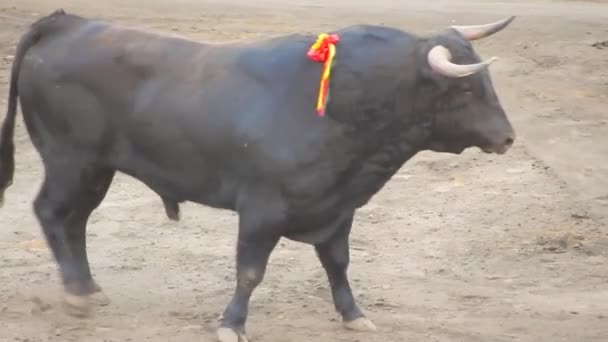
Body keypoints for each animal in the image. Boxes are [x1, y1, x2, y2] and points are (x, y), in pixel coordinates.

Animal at [0, 9, 516, 340]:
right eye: (466, 88)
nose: (507, 137)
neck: (347, 104)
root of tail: (66, 23)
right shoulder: (263, 209)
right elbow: (250, 271)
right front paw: (231, 324)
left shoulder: (337, 207)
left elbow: (338, 262)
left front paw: (354, 315)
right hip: (71, 160)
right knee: (52, 213)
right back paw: (75, 293)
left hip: (96, 168)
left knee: (76, 221)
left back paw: (88, 288)